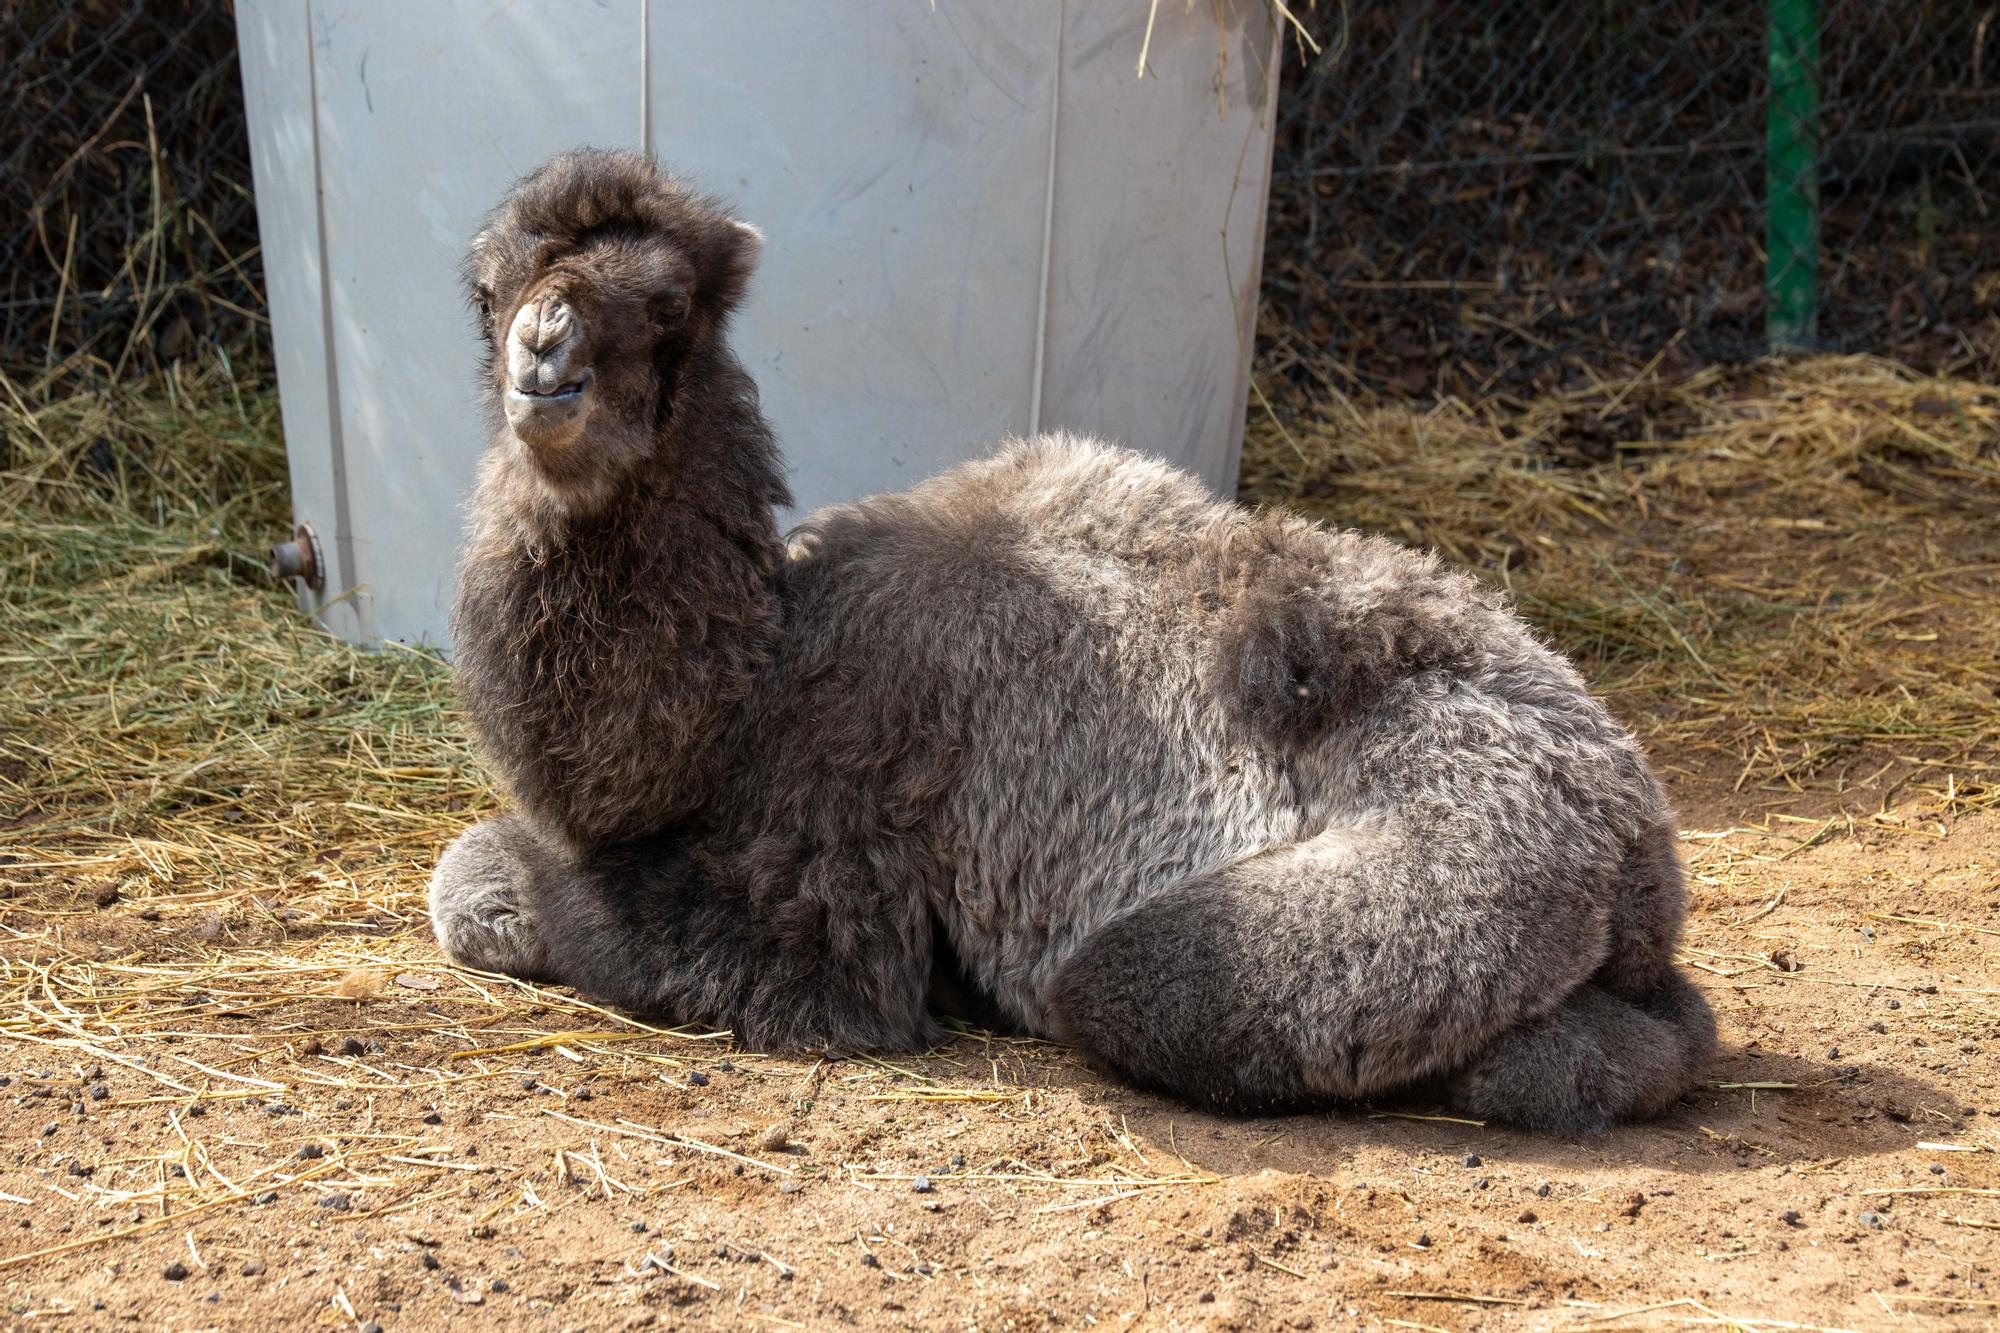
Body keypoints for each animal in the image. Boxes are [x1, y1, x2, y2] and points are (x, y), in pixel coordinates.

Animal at [430, 156, 1712, 1128]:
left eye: (668, 308)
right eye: (490, 288)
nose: (546, 352)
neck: (756, 686)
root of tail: (1632, 843)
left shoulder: (818, 881)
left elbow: (500, 881)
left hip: (1408, 891)